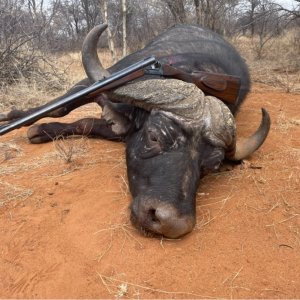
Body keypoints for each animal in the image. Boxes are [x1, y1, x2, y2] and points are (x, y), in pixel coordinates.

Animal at [0, 24, 270, 239]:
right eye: (154, 137)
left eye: (212, 166)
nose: (170, 223)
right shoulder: (98, 83)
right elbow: (61, 107)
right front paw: (16, 118)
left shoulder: (119, 126)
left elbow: (86, 123)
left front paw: (40, 129)